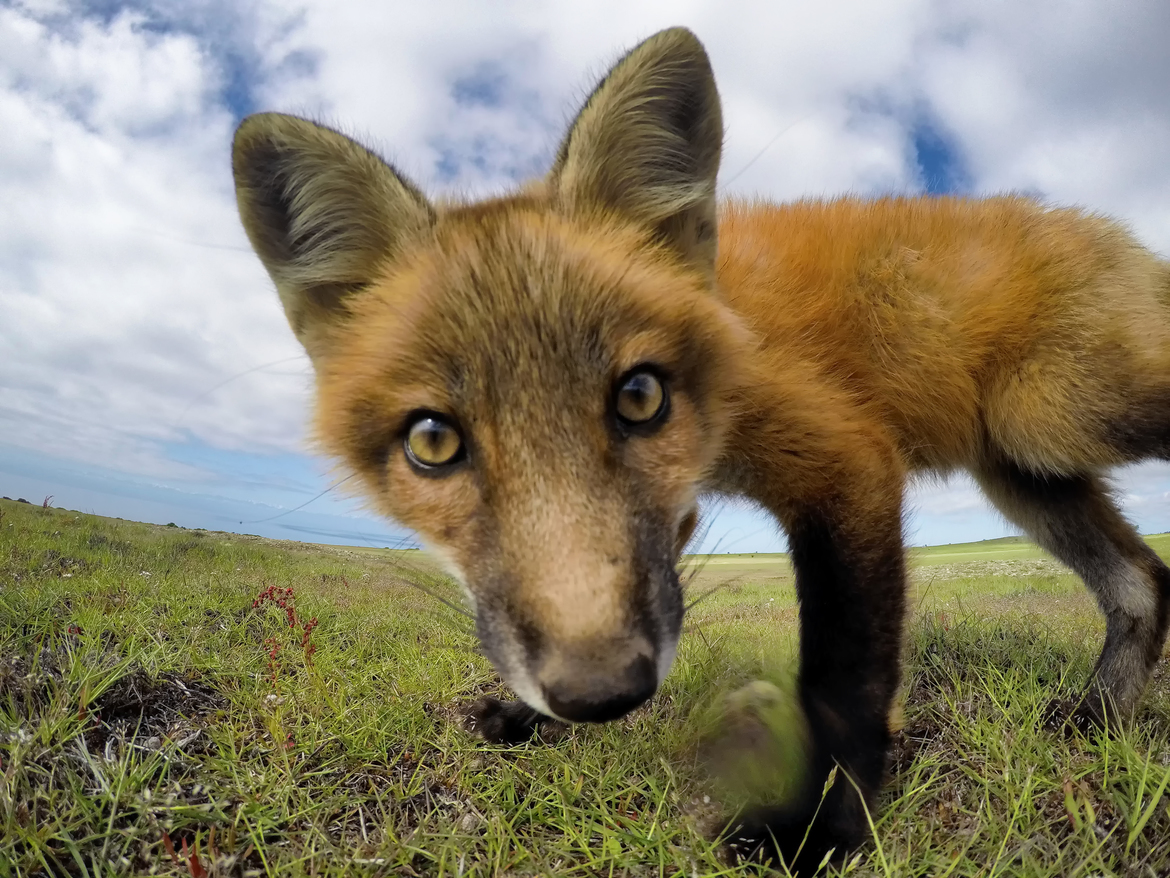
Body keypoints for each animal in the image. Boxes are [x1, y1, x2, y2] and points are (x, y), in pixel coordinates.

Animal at [231, 26, 1170, 873]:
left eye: (640, 397)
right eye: (433, 442)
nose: (602, 695)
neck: (728, 329)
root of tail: (1112, 233)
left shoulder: (846, 461)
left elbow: (842, 683)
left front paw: (820, 837)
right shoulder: (669, 522)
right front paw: (531, 718)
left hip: (1059, 415)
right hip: (1025, 468)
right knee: (1142, 583)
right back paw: (1103, 716)